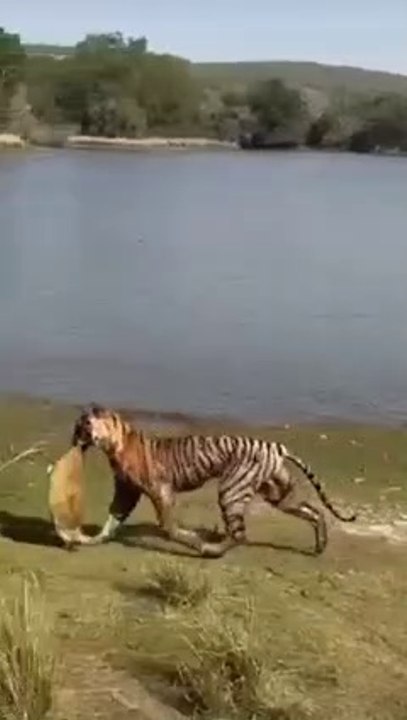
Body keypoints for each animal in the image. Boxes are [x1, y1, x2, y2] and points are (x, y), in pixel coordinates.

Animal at [71, 403, 357, 557]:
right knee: (315, 512)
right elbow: (111, 520)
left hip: (231, 491)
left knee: (240, 534)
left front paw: (193, 540)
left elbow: (169, 526)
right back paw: (320, 546)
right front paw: (92, 539)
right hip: (279, 495)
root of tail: (275, 446)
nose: (75, 437)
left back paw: (211, 550)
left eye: (85, 424)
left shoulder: (161, 492)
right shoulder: (126, 492)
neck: (115, 444)